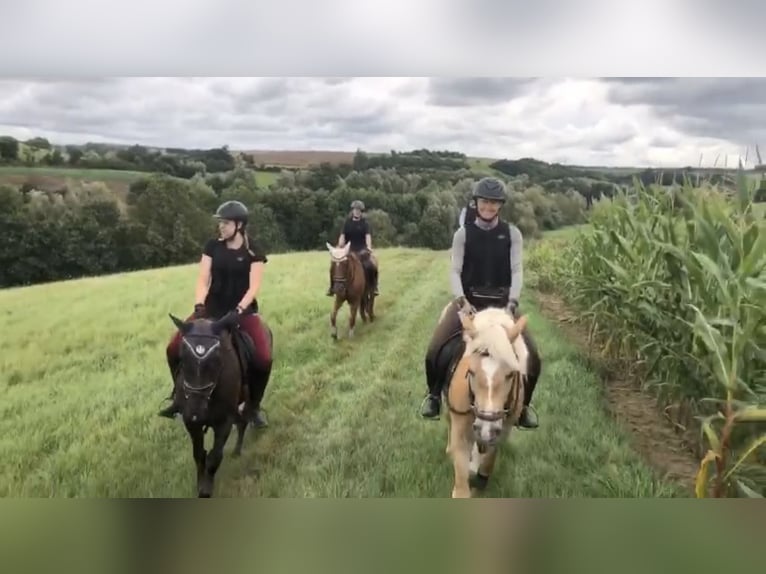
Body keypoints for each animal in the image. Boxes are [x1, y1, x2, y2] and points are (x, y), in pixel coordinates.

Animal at [167, 310, 264, 500]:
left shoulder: (224, 422)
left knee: (244, 420)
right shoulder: (191, 423)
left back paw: (238, 450)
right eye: (182, 359)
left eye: (217, 360)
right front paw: (200, 484)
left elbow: (214, 457)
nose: (197, 411)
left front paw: (206, 490)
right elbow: (199, 455)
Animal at [440, 306, 532, 500]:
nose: (486, 428)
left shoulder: (500, 432)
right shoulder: (461, 434)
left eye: (510, 374)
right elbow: (461, 486)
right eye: (471, 372)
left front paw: (480, 478)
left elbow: (489, 460)